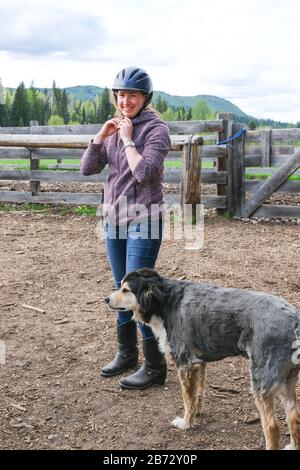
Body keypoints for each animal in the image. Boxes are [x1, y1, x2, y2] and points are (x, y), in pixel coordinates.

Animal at [105, 266, 300, 450]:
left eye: (126, 290)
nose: (106, 299)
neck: (167, 301)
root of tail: (294, 321)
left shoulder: (185, 364)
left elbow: (187, 398)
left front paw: (185, 423)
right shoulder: (198, 363)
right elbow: (197, 393)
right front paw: (196, 414)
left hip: (261, 381)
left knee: (272, 426)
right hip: (287, 381)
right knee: (294, 417)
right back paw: (292, 446)